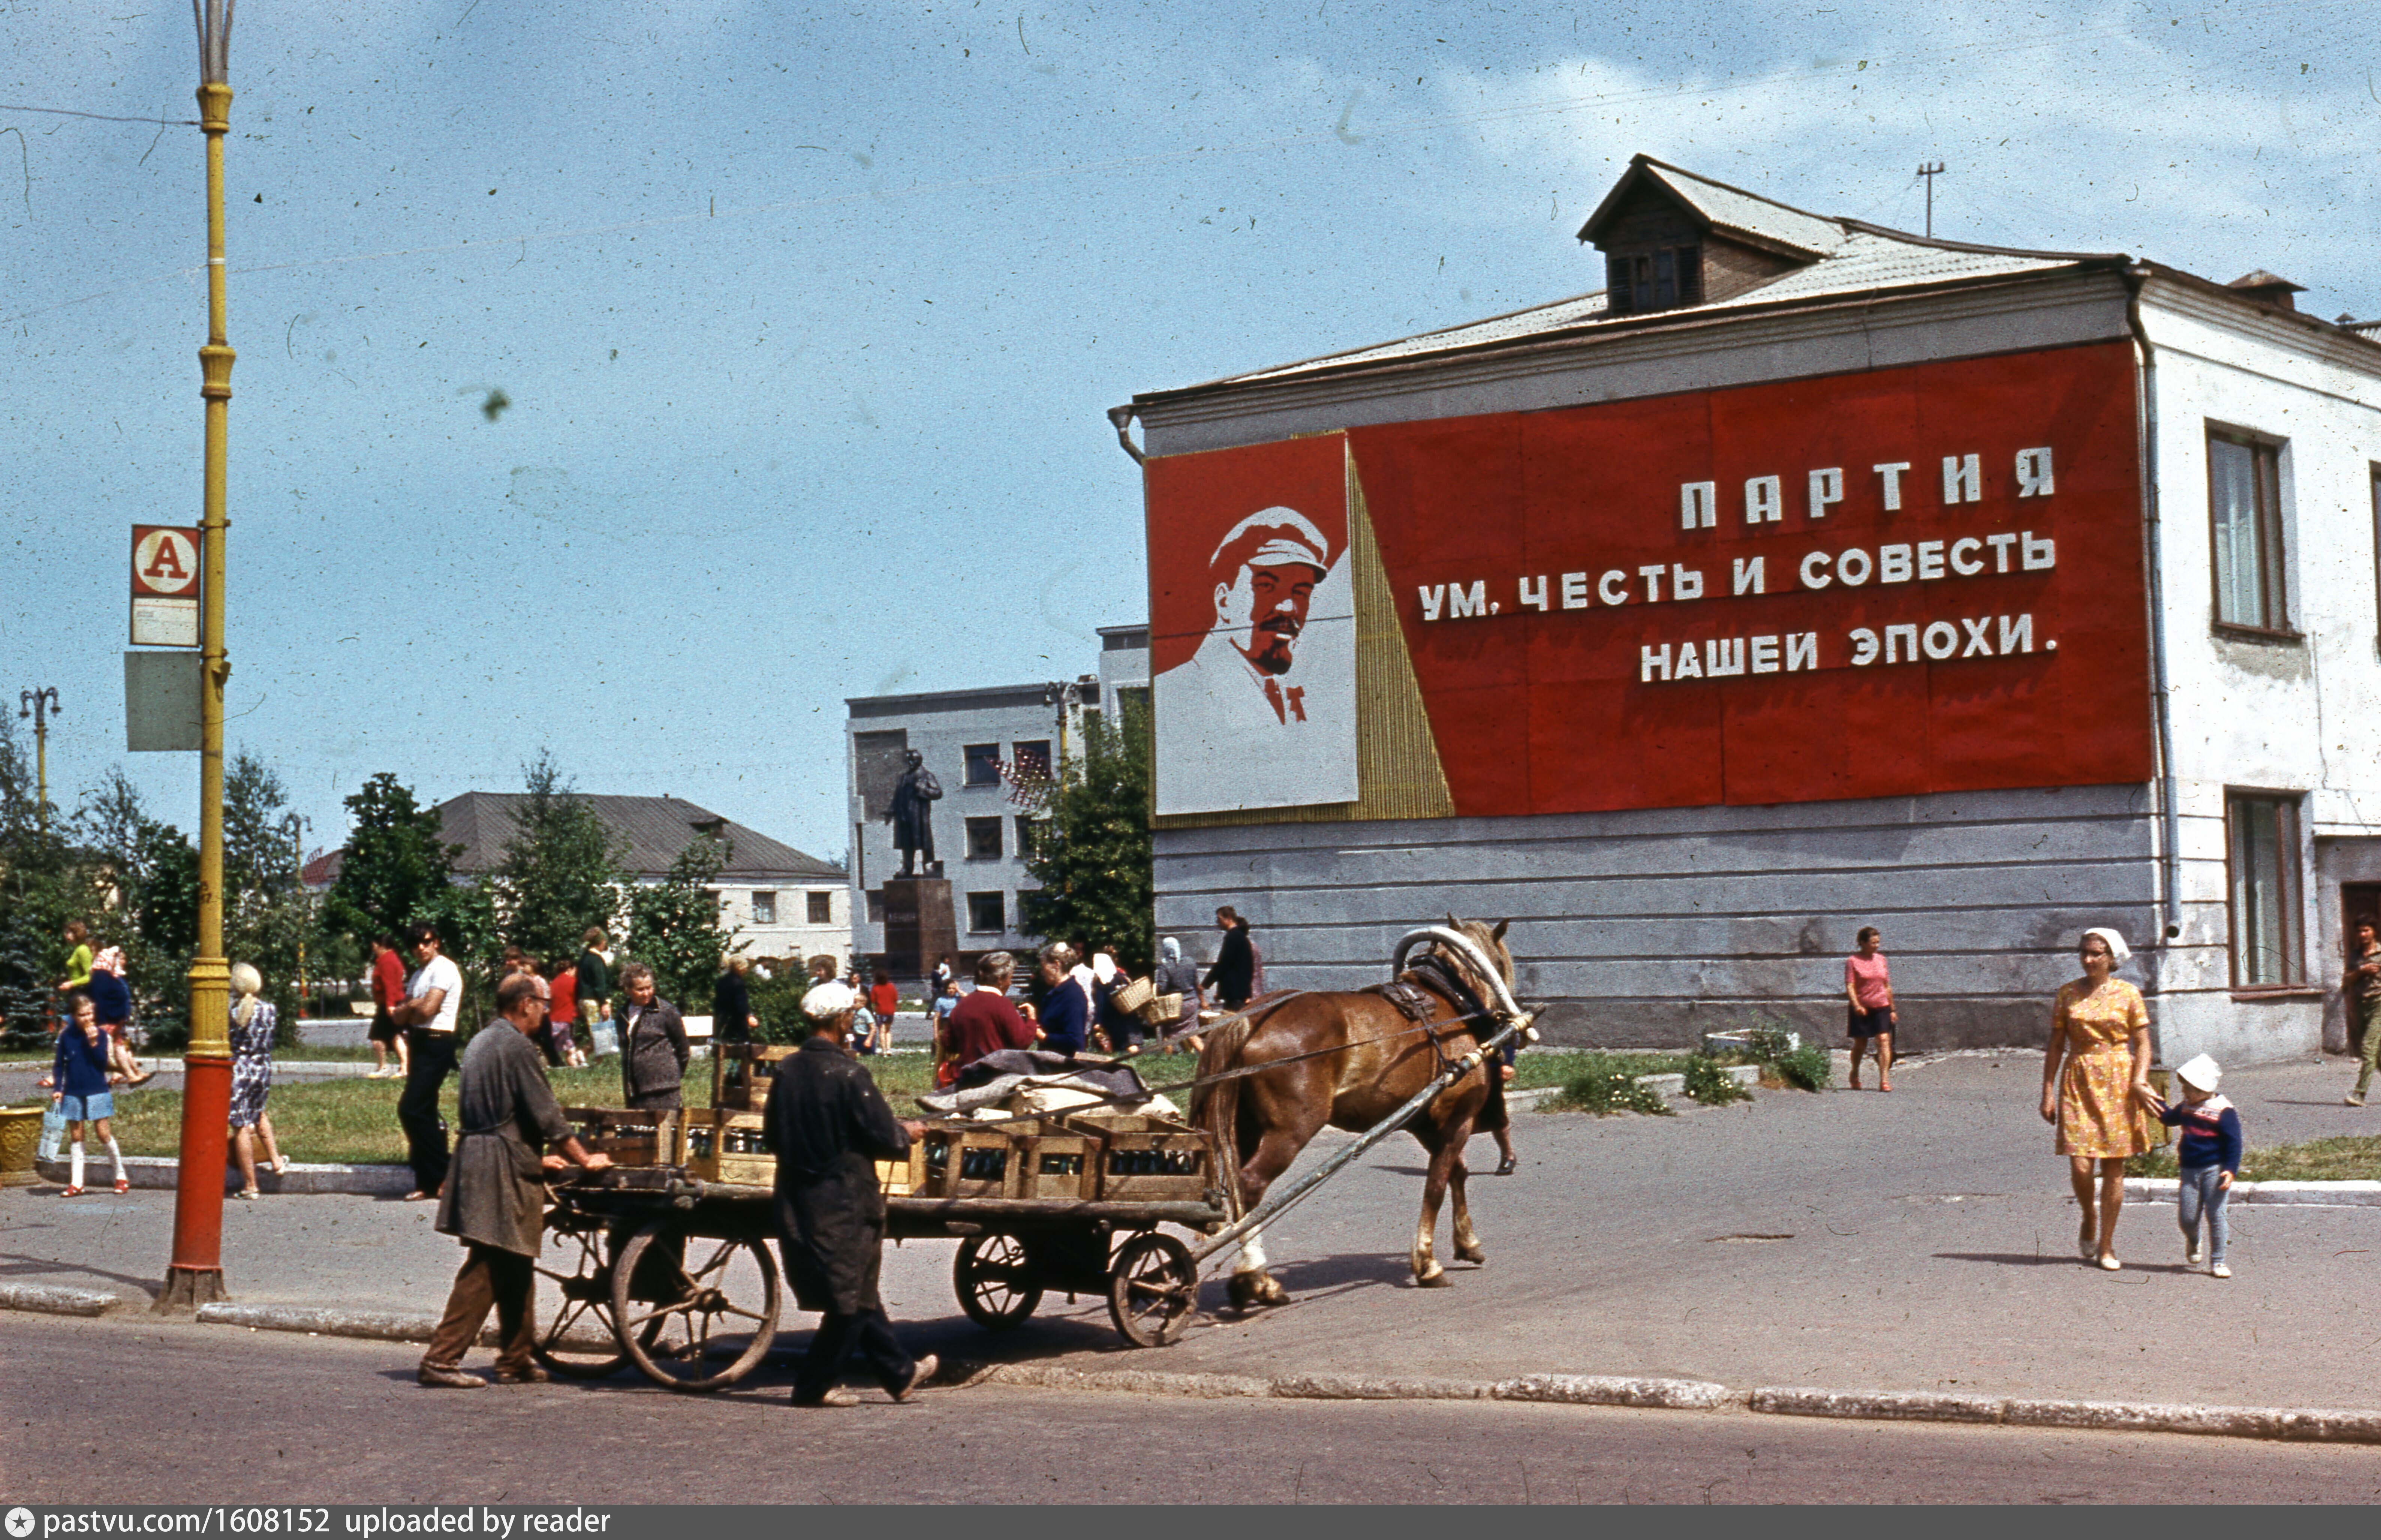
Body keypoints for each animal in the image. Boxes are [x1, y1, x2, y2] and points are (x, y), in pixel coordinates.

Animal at [1190, 914, 1524, 1304]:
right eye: (1501, 963)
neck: (1451, 1001)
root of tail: (1244, 1020)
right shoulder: (1458, 1118)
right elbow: (1437, 1186)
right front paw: (1427, 1263)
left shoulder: (1427, 1124)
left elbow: (1456, 1173)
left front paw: (1467, 1243)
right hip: (1289, 1131)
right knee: (1250, 1185)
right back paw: (1258, 1278)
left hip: (1246, 1129)